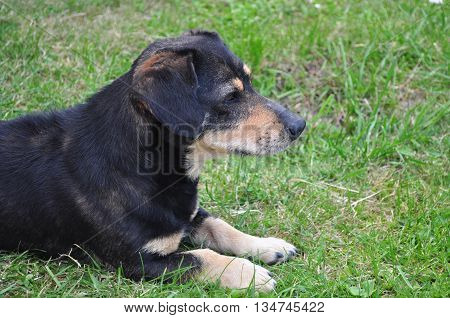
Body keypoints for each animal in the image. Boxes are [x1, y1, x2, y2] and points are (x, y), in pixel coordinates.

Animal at [0, 31, 306, 292]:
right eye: (230, 96)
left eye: (250, 83)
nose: (300, 126)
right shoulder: (139, 261)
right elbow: (200, 256)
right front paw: (249, 274)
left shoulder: (189, 215)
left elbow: (221, 227)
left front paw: (267, 245)